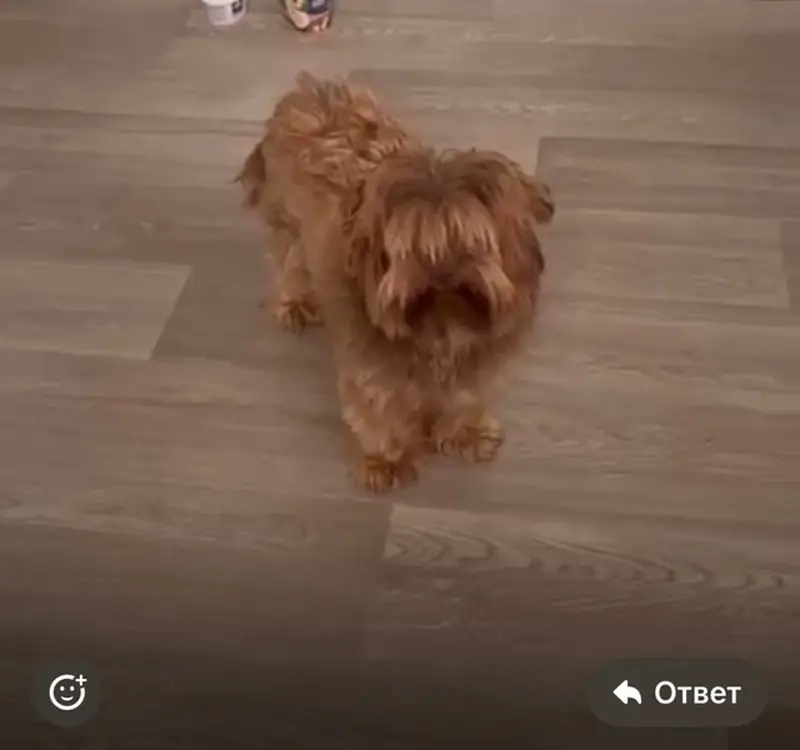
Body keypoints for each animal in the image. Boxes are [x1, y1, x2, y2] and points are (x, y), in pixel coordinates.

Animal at [237, 72, 554, 493]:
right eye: (412, 251)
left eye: (472, 244)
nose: (443, 274)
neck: (443, 330)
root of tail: (304, 91)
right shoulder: (371, 367)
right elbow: (378, 413)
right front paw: (387, 461)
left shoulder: (479, 358)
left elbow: (466, 396)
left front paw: (466, 433)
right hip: (286, 224)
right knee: (289, 265)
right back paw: (294, 303)